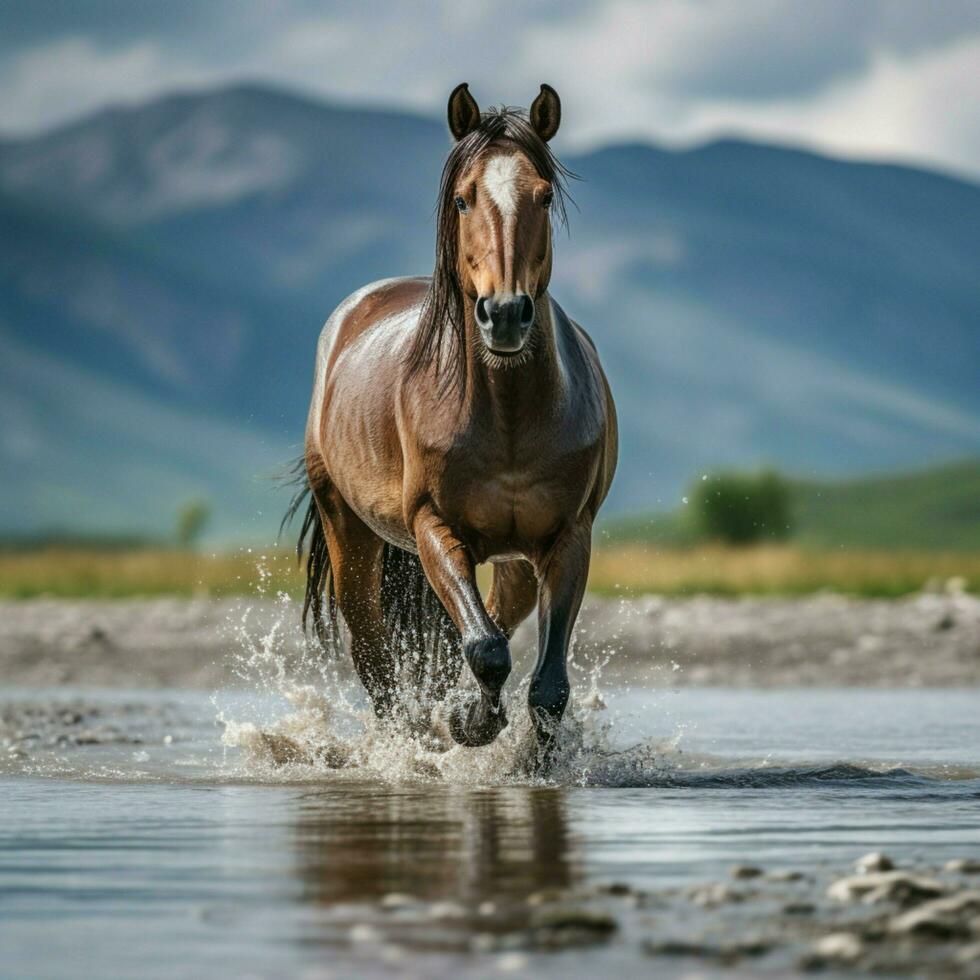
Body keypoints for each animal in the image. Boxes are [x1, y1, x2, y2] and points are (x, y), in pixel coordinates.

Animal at [288, 80, 616, 760]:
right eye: (463, 198)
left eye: (544, 195)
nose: (506, 313)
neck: (508, 414)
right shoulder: (434, 528)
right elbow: (485, 649)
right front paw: (468, 723)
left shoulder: (569, 536)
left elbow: (547, 682)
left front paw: (532, 761)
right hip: (349, 533)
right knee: (374, 655)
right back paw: (412, 740)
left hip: (515, 560)